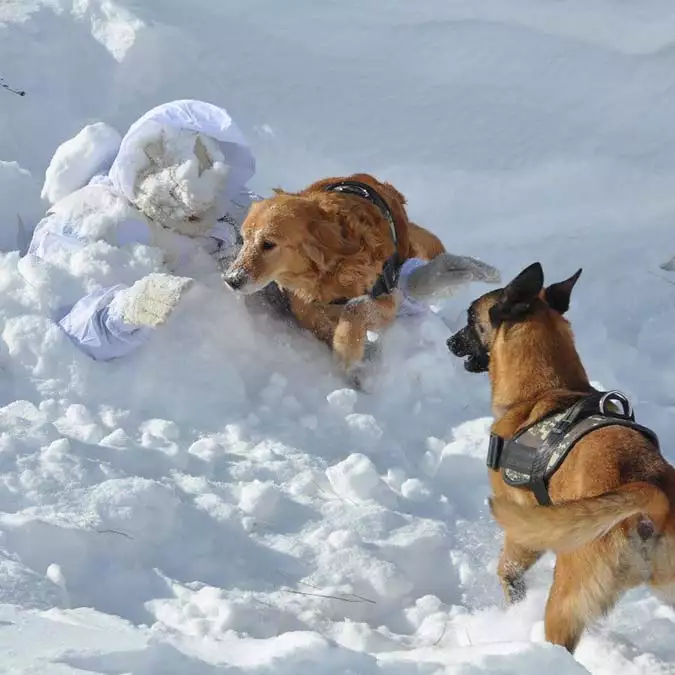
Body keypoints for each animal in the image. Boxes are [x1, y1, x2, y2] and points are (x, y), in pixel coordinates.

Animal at [223, 174, 444, 380]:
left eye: (268, 244)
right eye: (244, 239)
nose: (231, 280)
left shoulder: (387, 297)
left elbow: (355, 309)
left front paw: (347, 352)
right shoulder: (303, 302)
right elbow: (315, 318)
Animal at [446, 264, 672, 656]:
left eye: (471, 317)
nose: (450, 342)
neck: (546, 389)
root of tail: (650, 490)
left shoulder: (524, 530)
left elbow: (509, 571)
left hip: (567, 594)